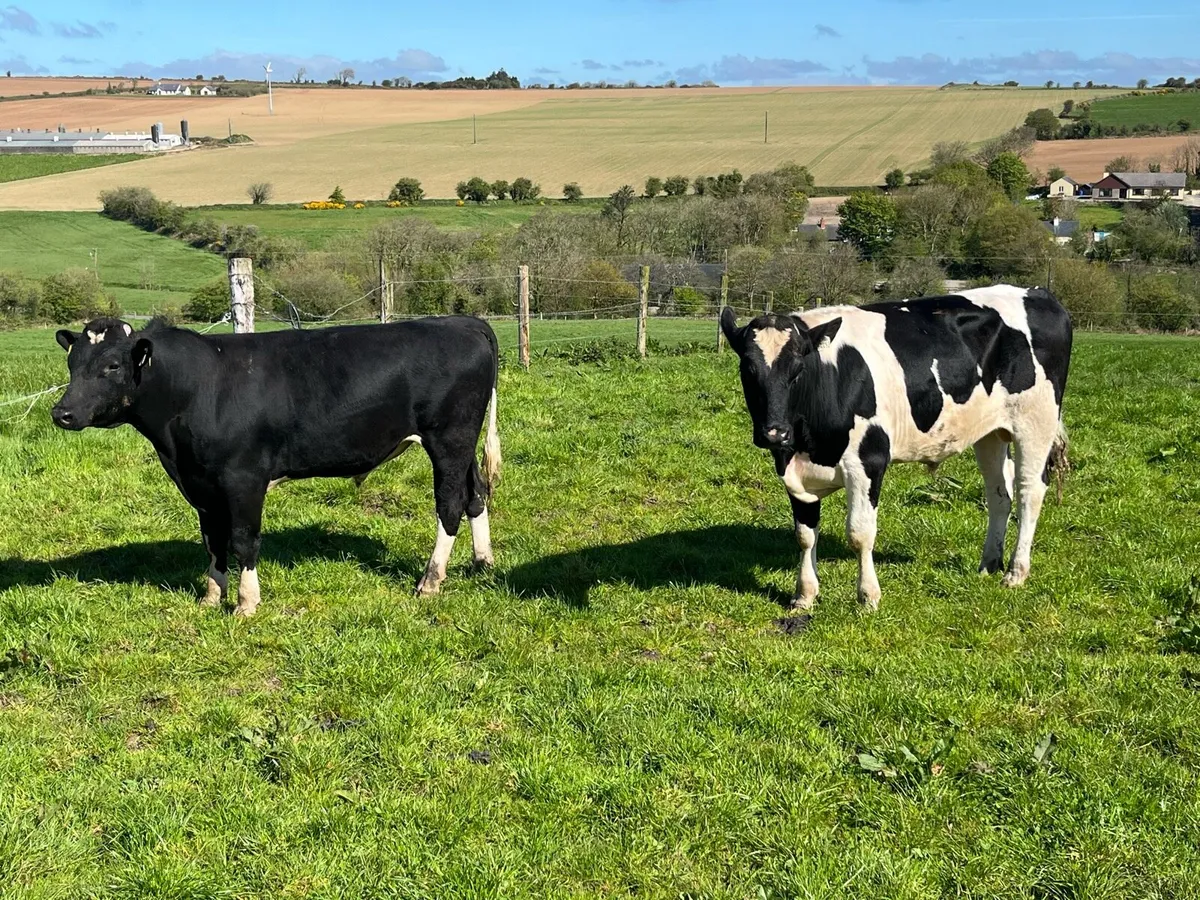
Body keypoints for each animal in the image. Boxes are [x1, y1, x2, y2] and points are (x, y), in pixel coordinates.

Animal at [51, 316, 501, 616]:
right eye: (72, 363)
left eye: (112, 365)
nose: (62, 413)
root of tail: (460, 321)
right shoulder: (201, 485)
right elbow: (213, 540)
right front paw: (211, 596)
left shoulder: (244, 479)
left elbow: (243, 540)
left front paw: (246, 603)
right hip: (461, 445)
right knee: (476, 493)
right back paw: (482, 562)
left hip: (449, 438)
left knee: (449, 504)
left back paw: (430, 581)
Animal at [720, 285, 1071, 611]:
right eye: (748, 370)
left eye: (798, 369)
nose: (773, 433)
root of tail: (1038, 293)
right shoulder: (792, 467)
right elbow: (805, 535)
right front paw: (804, 595)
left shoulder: (869, 461)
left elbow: (859, 533)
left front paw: (868, 597)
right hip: (990, 433)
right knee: (1000, 495)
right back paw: (989, 564)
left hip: (1035, 421)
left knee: (1029, 491)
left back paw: (1015, 572)